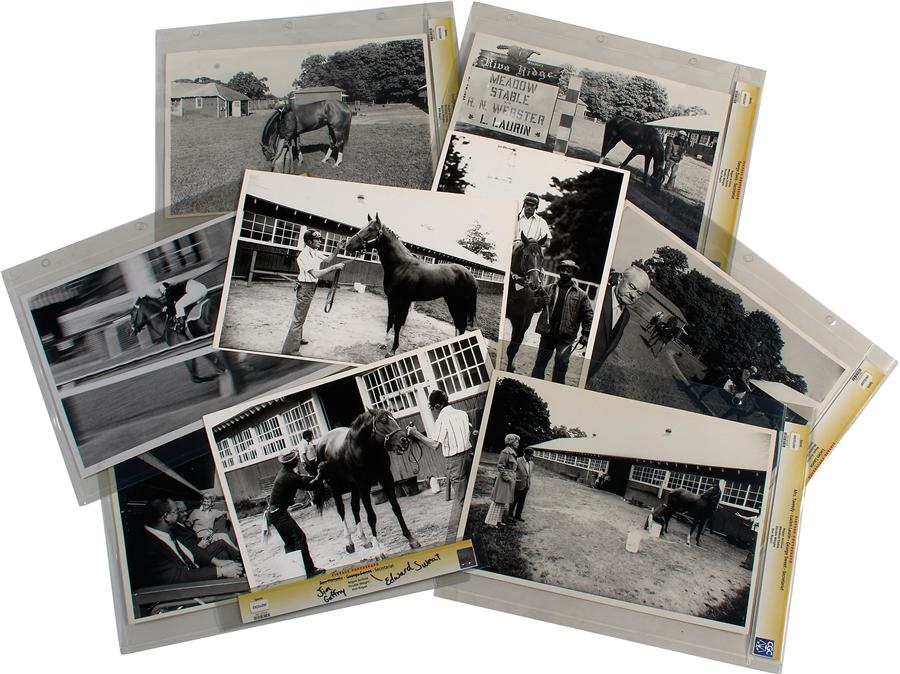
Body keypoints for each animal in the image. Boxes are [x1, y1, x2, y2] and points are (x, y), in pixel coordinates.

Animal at [312, 404, 422, 556]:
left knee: (354, 506)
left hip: (353, 485)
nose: (404, 440)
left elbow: (396, 508)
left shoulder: (386, 479)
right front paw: (378, 550)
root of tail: (322, 442)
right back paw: (349, 543)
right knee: (341, 510)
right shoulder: (364, 485)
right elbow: (371, 516)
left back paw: (364, 539)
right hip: (335, 484)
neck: (366, 449)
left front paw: (411, 538)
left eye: (393, 417)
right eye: (383, 420)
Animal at [342, 214, 478, 352]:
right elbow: (390, 321)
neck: (401, 265)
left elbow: (397, 324)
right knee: (458, 324)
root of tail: (471, 276)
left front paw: (393, 349)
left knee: (461, 325)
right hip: (452, 302)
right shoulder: (391, 299)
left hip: (459, 303)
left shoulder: (403, 301)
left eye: (371, 229)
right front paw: (384, 344)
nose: (348, 245)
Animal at [502, 234, 544, 372]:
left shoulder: (520, 320)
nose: (534, 283)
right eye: (525, 256)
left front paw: (510, 369)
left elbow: (513, 348)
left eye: (542, 257)